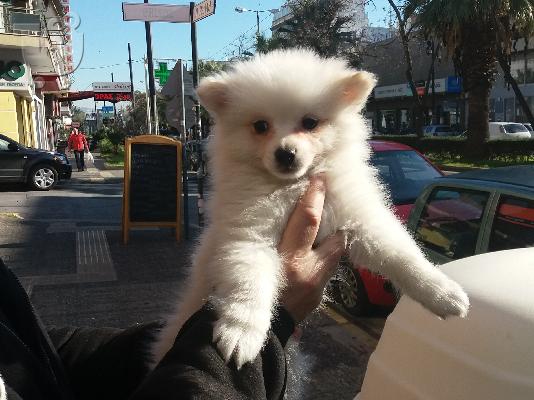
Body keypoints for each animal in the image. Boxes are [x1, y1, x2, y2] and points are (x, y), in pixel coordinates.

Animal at [153, 47, 472, 368]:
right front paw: (241, 332)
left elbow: (401, 255)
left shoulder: (357, 218)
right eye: (260, 126)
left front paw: (441, 291)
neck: (292, 188)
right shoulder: (248, 235)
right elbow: (250, 283)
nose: (285, 153)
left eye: (309, 123)